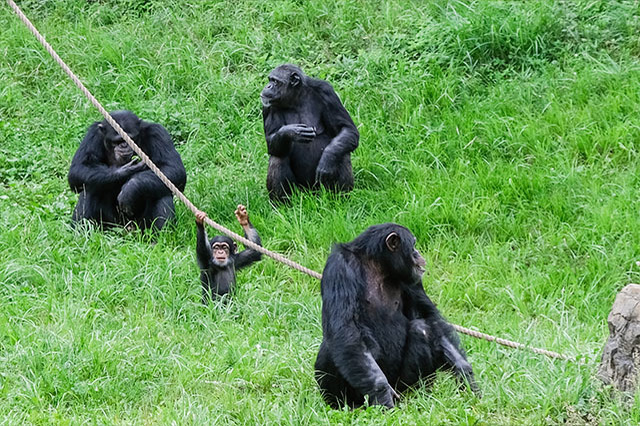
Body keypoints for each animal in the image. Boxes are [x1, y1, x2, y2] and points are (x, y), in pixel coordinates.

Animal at [260, 64, 360, 202]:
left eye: (275, 81)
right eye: (270, 79)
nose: (268, 86)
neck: (295, 98)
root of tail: (311, 193)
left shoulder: (327, 92)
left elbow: (347, 128)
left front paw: (327, 159)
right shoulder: (268, 106)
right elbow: (270, 141)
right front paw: (291, 132)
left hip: (320, 188)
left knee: (342, 152)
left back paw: (340, 199)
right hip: (299, 190)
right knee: (278, 158)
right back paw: (283, 204)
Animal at [316, 223, 480, 410]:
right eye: (413, 245)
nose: (418, 253)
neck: (378, 266)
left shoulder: (414, 278)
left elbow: (428, 316)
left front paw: (464, 373)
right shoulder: (339, 267)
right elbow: (345, 327)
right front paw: (382, 393)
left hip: (403, 387)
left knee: (421, 329)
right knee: (334, 347)